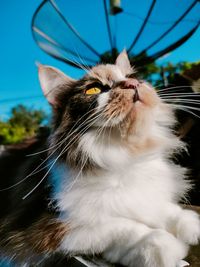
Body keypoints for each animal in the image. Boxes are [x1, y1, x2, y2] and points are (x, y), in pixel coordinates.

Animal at [0, 50, 199, 267]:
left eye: (132, 77)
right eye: (93, 89)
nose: (132, 84)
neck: (123, 154)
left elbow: (158, 207)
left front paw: (188, 223)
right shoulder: (41, 227)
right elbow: (119, 225)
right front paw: (161, 244)